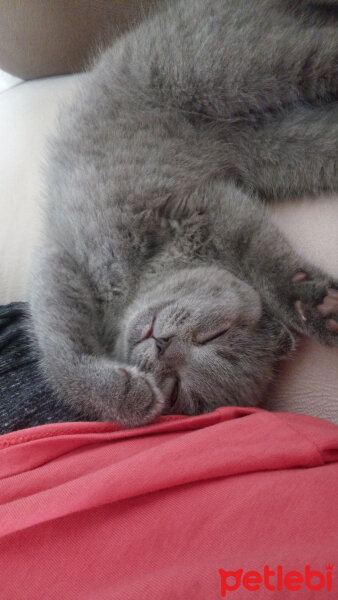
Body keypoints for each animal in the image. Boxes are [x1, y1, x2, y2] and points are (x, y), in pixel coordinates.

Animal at [29, 0, 338, 426]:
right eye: (175, 386)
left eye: (213, 336)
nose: (162, 344)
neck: (136, 281)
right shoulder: (61, 268)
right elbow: (59, 359)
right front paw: (131, 396)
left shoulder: (201, 203)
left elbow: (262, 255)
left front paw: (312, 304)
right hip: (270, 131)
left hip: (256, 72)